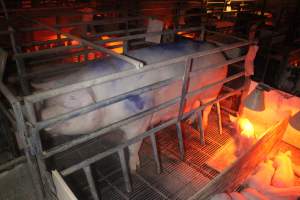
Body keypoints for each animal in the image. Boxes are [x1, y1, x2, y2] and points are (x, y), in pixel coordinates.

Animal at [32, 39, 230, 171]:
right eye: (48, 102)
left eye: (70, 104)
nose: (42, 116)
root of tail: (218, 51)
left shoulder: (139, 120)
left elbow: (133, 145)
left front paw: (134, 168)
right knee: (195, 106)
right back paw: (188, 121)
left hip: (212, 90)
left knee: (206, 109)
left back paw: (200, 126)